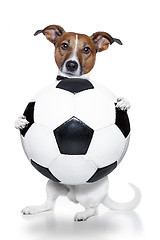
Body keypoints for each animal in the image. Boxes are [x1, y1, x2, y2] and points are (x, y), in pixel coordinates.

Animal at [14, 25, 140, 222]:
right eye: (64, 45)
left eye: (86, 49)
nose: (72, 65)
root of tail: (72, 193)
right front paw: (19, 120)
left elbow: (125, 101)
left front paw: (124, 103)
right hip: (52, 183)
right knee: (49, 205)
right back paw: (34, 209)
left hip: (90, 193)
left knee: (94, 209)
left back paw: (82, 214)